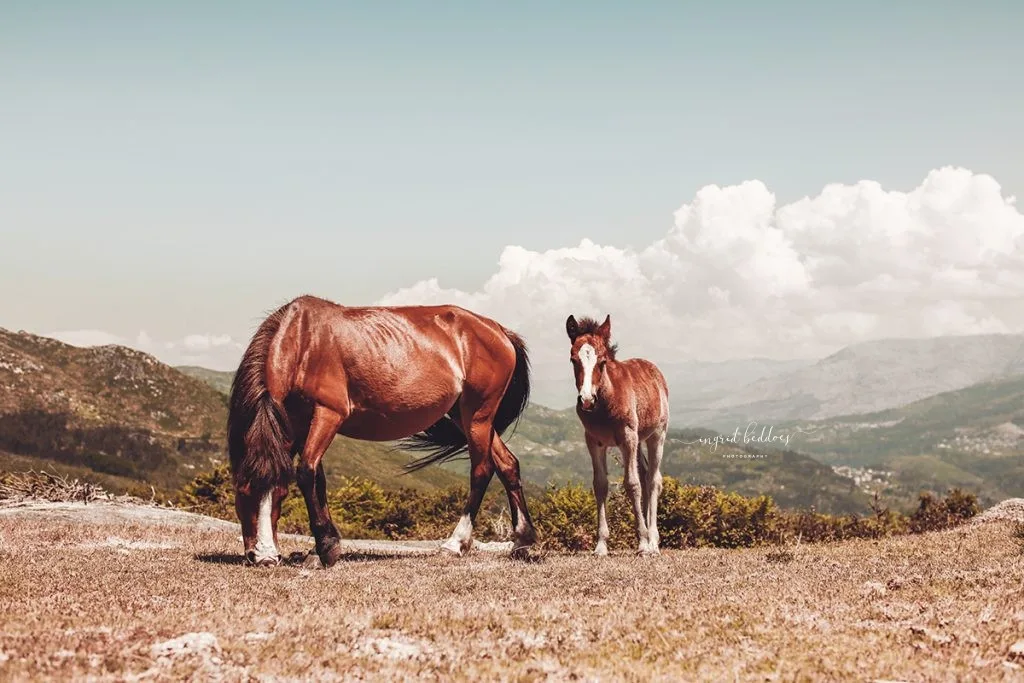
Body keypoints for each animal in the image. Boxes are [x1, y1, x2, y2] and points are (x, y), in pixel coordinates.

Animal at [227, 294, 537, 567]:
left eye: (280, 495)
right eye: (242, 492)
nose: (264, 557)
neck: (303, 341)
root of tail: (499, 330)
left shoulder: (329, 413)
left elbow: (306, 472)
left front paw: (325, 548)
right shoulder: (299, 422)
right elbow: (317, 479)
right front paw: (323, 547)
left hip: (477, 415)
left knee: (482, 470)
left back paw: (456, 543)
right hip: (466, 416)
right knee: (507, 464)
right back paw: (522, 540)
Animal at [565, 314, 670, 556]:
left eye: (602, 361)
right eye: (573, 360)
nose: (587, 400)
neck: (606, 401)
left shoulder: (627, 438)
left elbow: (632, 484)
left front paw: (642, 543)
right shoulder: (594, 441)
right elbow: (600, 485)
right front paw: (601, 545)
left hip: (656, 435)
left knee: (653, 481)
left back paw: (653, 541)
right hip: (638, 441)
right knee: (646, 474)